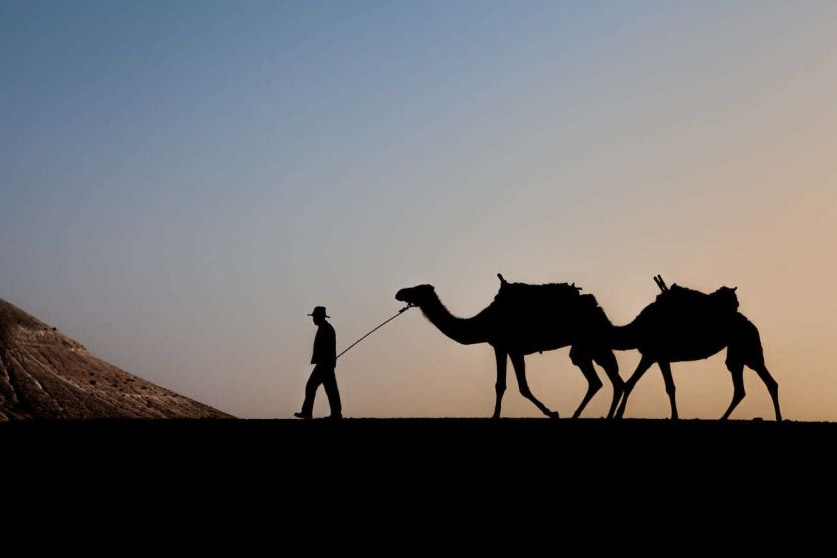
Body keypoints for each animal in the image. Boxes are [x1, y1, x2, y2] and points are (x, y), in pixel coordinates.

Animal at [396, 276, 624, 420]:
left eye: (417, 289)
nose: (399, 292)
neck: (483, 322)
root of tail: (597, 307)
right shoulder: (501, 347)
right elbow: (501, 384)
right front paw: (495, 415)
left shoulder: (511, 348)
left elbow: (520, 387)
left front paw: (552, 413)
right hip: (587, 345)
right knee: (602, 380)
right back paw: (588, 415)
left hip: (592, 341)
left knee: (610, 378)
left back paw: (604, 416)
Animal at [612, 278, 780, 422]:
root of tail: (753, 326)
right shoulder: (660, 357)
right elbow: (669, 387)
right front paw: (674, 416)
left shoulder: (651, 354)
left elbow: (631, 383)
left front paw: (618, 414)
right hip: (737, 352)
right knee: (744, 387)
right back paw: (723, 418)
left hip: (748, 349)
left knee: (766, 381)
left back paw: (777, 418)